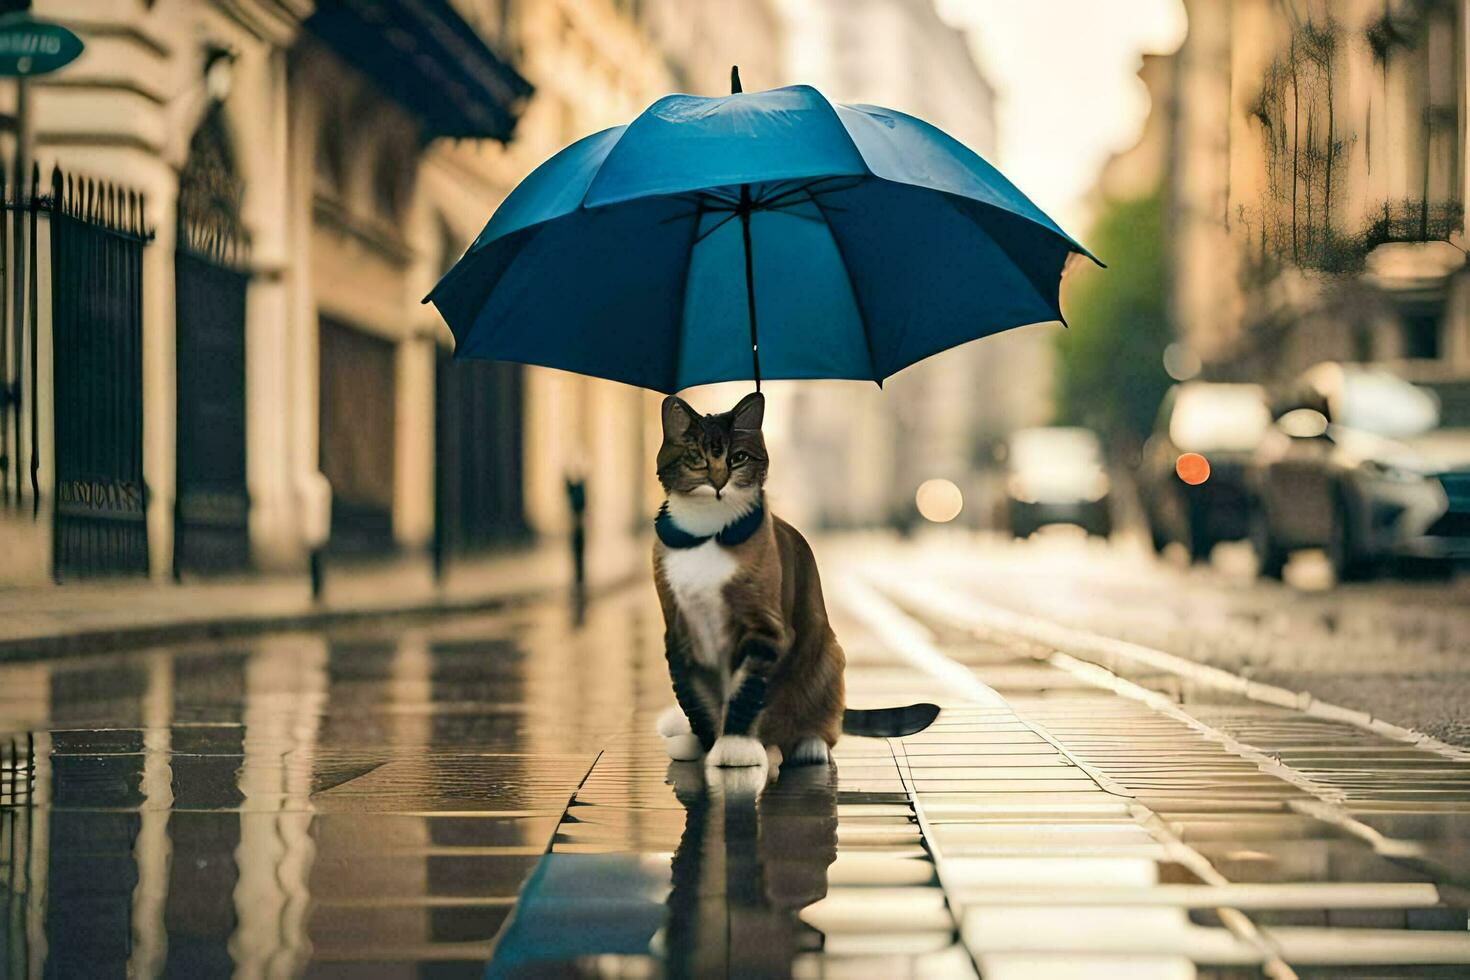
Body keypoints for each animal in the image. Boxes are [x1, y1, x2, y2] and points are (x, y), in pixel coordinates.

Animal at [652, 387, 934, 769]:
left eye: (738, 457)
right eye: (696, 457)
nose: (719, 482)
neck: (707, 534)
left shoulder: (764, 628)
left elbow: (746, 692)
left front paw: (735, 747)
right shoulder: (679, 634)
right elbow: (695, 697)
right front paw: (704, 742)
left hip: (827, 655)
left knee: (819, 720)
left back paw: (806, 745)